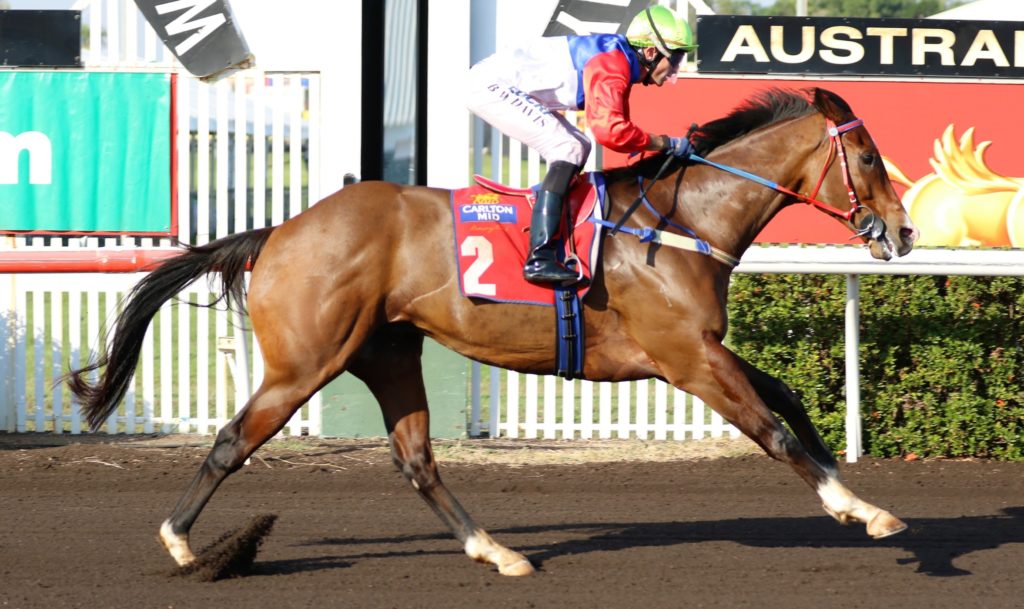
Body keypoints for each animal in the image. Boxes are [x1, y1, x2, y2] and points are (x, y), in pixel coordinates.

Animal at [66, 87, 919, 577]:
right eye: (868, 153)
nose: (905, 231)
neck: (681, 221)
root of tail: (279, 230)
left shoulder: (701, 348)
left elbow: (788, 401)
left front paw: (851, 492)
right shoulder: (685, 357)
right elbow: (771, 429)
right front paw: (863, 510)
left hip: (387, 354)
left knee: (416, 459)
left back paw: (495, 549)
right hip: (305, 361)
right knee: (231, 440)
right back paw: (182, 542)